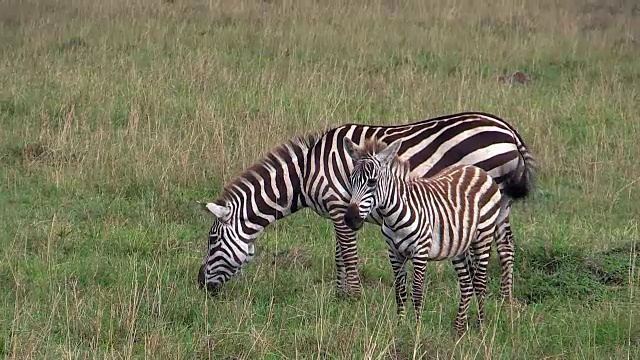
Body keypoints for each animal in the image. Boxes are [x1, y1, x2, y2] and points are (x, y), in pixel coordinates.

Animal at [199, 112, 536, 298]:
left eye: (212, 241)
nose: (200, 284)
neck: (306, 172)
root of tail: (509, 130)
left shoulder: (340, 206)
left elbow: (348, 254)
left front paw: (354, 297)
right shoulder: (340, 211)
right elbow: (339, 253)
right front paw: (339, 295)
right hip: (500, 202)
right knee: (507, 246)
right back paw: (505, 301)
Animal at [342, 136, 508, 336]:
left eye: (372, 182)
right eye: (351, 180)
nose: (350, 219)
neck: (394, 216)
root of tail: (478, 170)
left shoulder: (420, 251)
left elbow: (417, 292)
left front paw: (416, 330)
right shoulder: (394, 253)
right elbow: (400, 291)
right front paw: (400, 327)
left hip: (483, 236)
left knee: (481, 282)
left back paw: (481, 328)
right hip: (459, 245)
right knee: (467, 283)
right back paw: (459, 329)